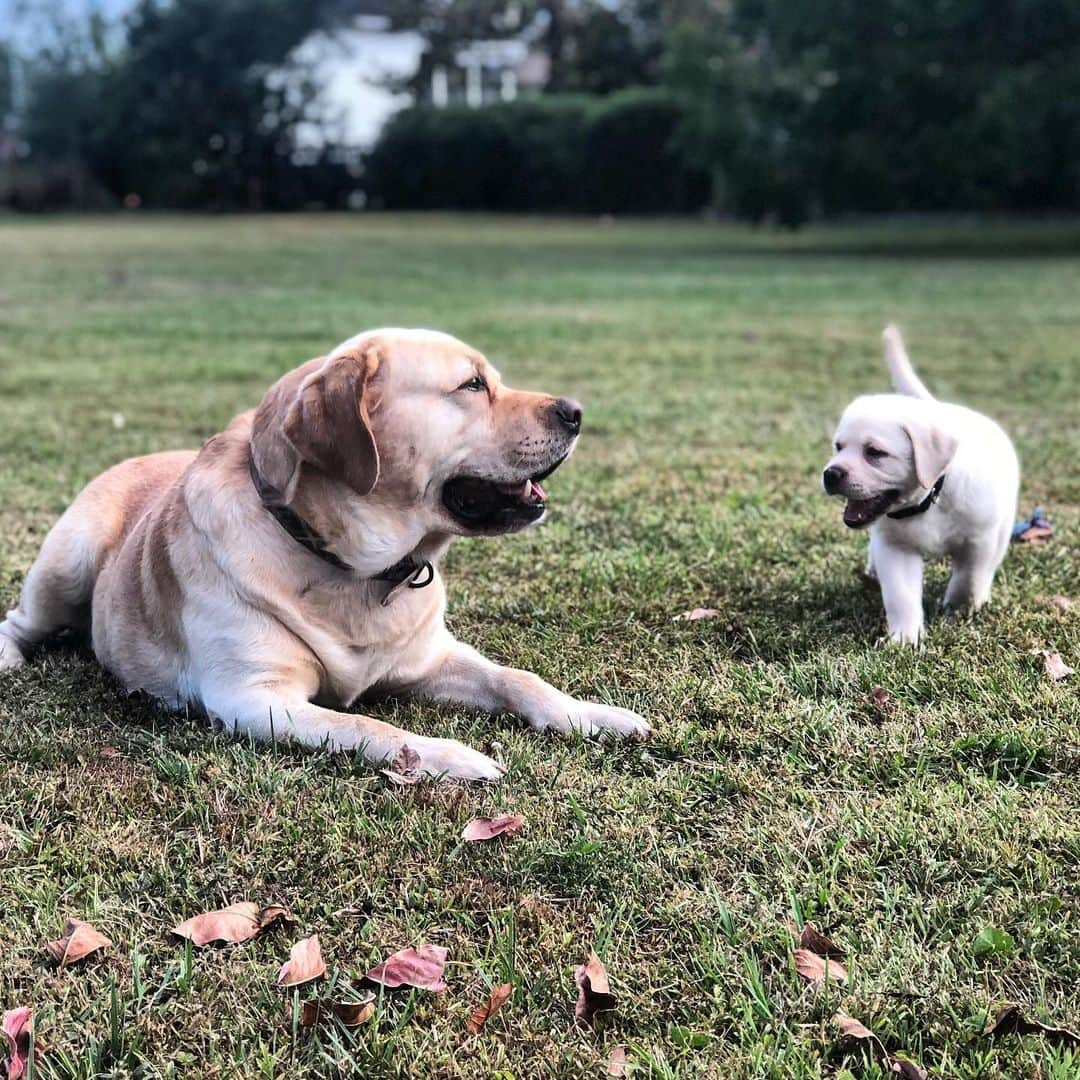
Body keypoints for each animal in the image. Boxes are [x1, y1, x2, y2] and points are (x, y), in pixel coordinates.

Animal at [820, 324, 1015, 643]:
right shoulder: (895, 548)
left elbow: (969, 578)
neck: (930, 500)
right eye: (838, 446)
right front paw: (904, 641)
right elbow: (901, 597)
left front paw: (960, 609)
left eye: (874, 452)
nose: (831, 474)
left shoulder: (978, 540)